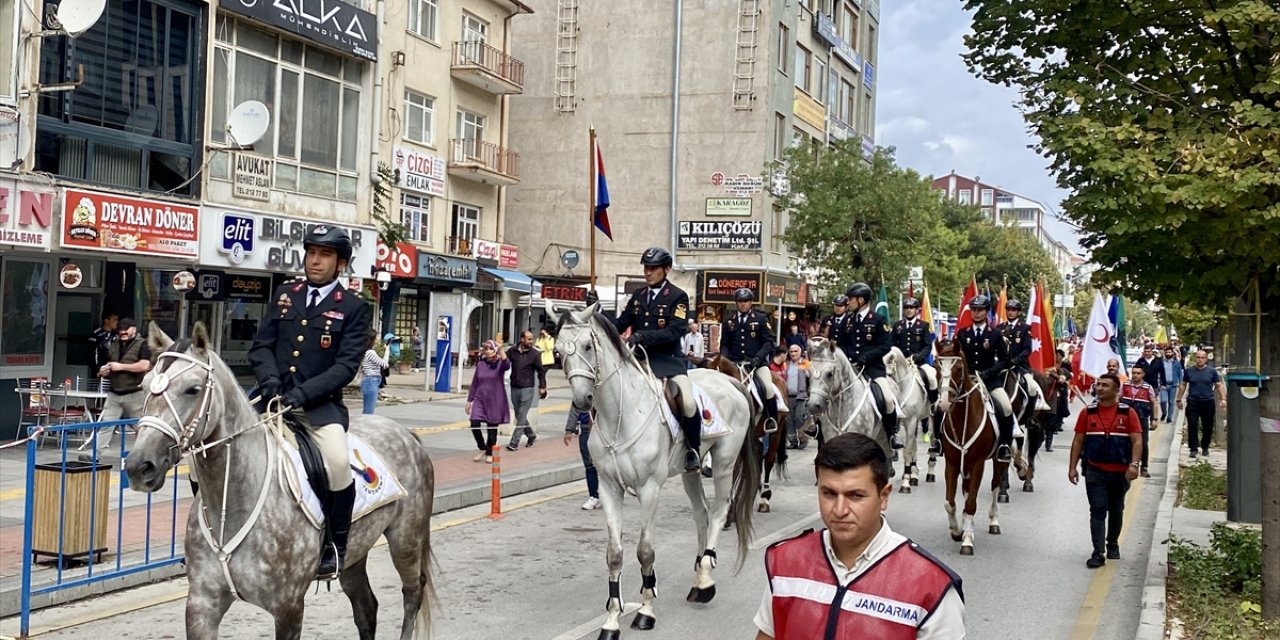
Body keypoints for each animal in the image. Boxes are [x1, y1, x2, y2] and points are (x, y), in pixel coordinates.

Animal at [122, 325, 437, 640]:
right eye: (144, 386)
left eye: (193, 389)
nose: (139, 467)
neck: (233, 500)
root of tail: (406, 434)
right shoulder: (202, 604)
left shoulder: (288, 607)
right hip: (354, 555)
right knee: (366, 607)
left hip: (406, 540)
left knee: (412, 594)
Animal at [552, 300, 757, 640]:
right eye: (557, 351)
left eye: (587, 346)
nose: (582, 400)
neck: (620, 415)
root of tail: (730, 381)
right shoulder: (609, 488)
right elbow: (615, 554)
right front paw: (611, 620)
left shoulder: (649, 489)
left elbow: (645, 551)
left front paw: (645, 612)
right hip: (690, 469)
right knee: (701, 514)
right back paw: (697, 580)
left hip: (725, 461)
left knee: (717, 512)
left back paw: (705, 579)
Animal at [885, 345, 936, 488]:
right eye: (885, 374)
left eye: (890, 375)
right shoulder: (905, 422)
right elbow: (911, 448)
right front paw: (912, 475)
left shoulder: (912, 421)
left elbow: (907, 450)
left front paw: (906, 481)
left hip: (932, 416)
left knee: (933, 438)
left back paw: (931, 473)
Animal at [936, 340, 1013, 555]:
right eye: (937, 367)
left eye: (958, 368)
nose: (943, 404)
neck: (963, 417)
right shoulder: (952, 463)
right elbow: (950, 503)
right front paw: (957, 531)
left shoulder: (978, 463)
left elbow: (971, 503)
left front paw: (967, 541)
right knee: (966, 490)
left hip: (997, 460)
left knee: (996, 485)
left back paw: (993, 522)